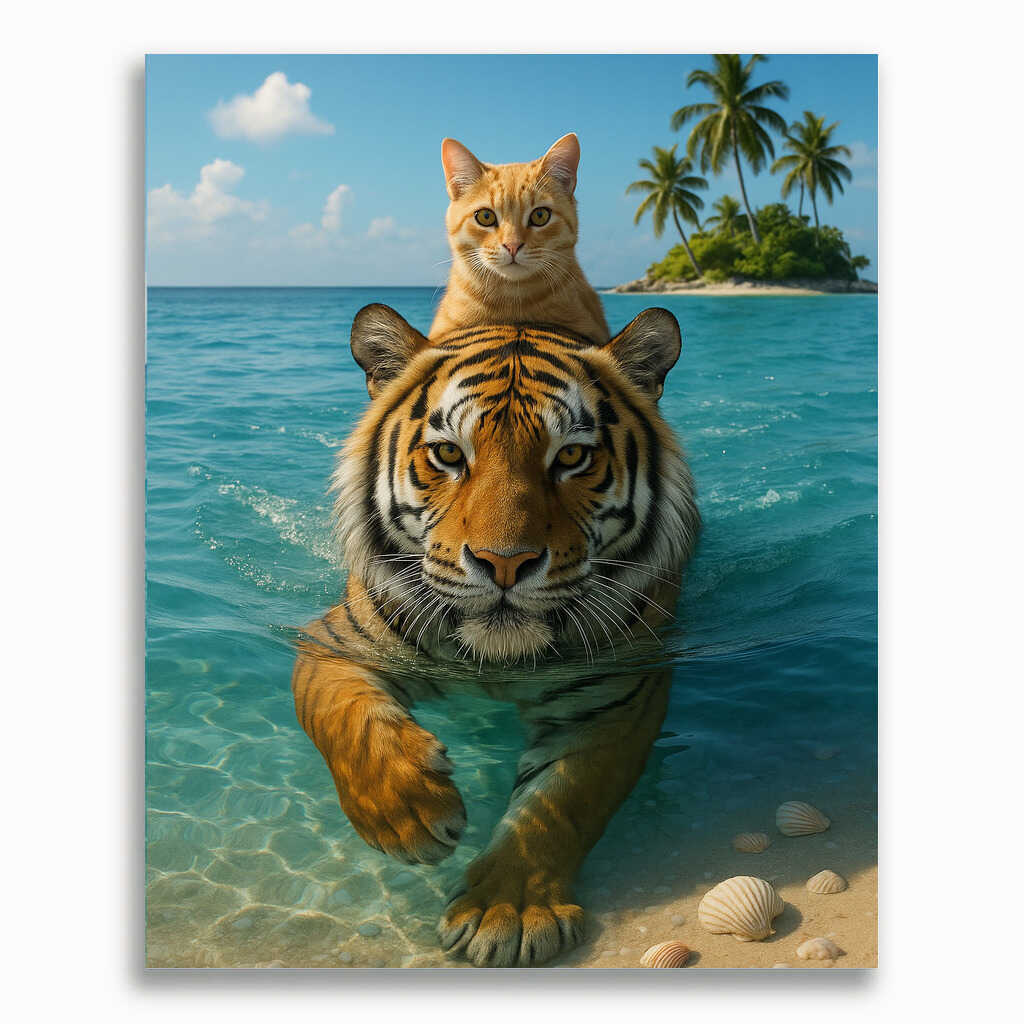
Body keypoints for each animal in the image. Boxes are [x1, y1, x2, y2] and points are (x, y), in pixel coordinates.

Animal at [291, 303, 700, 967]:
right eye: (448, 454)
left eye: (571, 456)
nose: (504, 563)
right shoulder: (333, 641)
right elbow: (339, 716)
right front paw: (407, 813)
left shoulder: (616, 698)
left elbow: (559, 804)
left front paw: (506, 911)